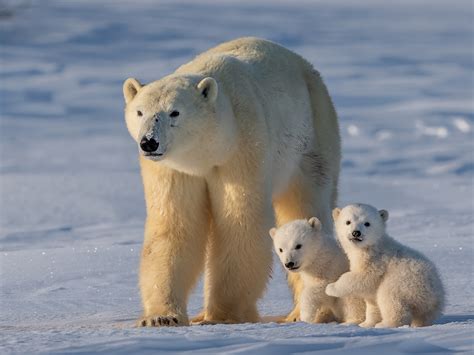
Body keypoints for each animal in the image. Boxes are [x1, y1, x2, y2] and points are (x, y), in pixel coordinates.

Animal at [120, 37, 338, 326]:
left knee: (306, 203)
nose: (149, 142)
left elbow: (240, 223)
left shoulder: (242, 148)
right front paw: (161, 317)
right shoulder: (174, 170)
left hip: (312, 136)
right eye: (140, 112)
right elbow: (174, 227)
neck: (208, 151)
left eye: (175, 112)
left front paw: (222, 316)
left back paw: (300, 313)